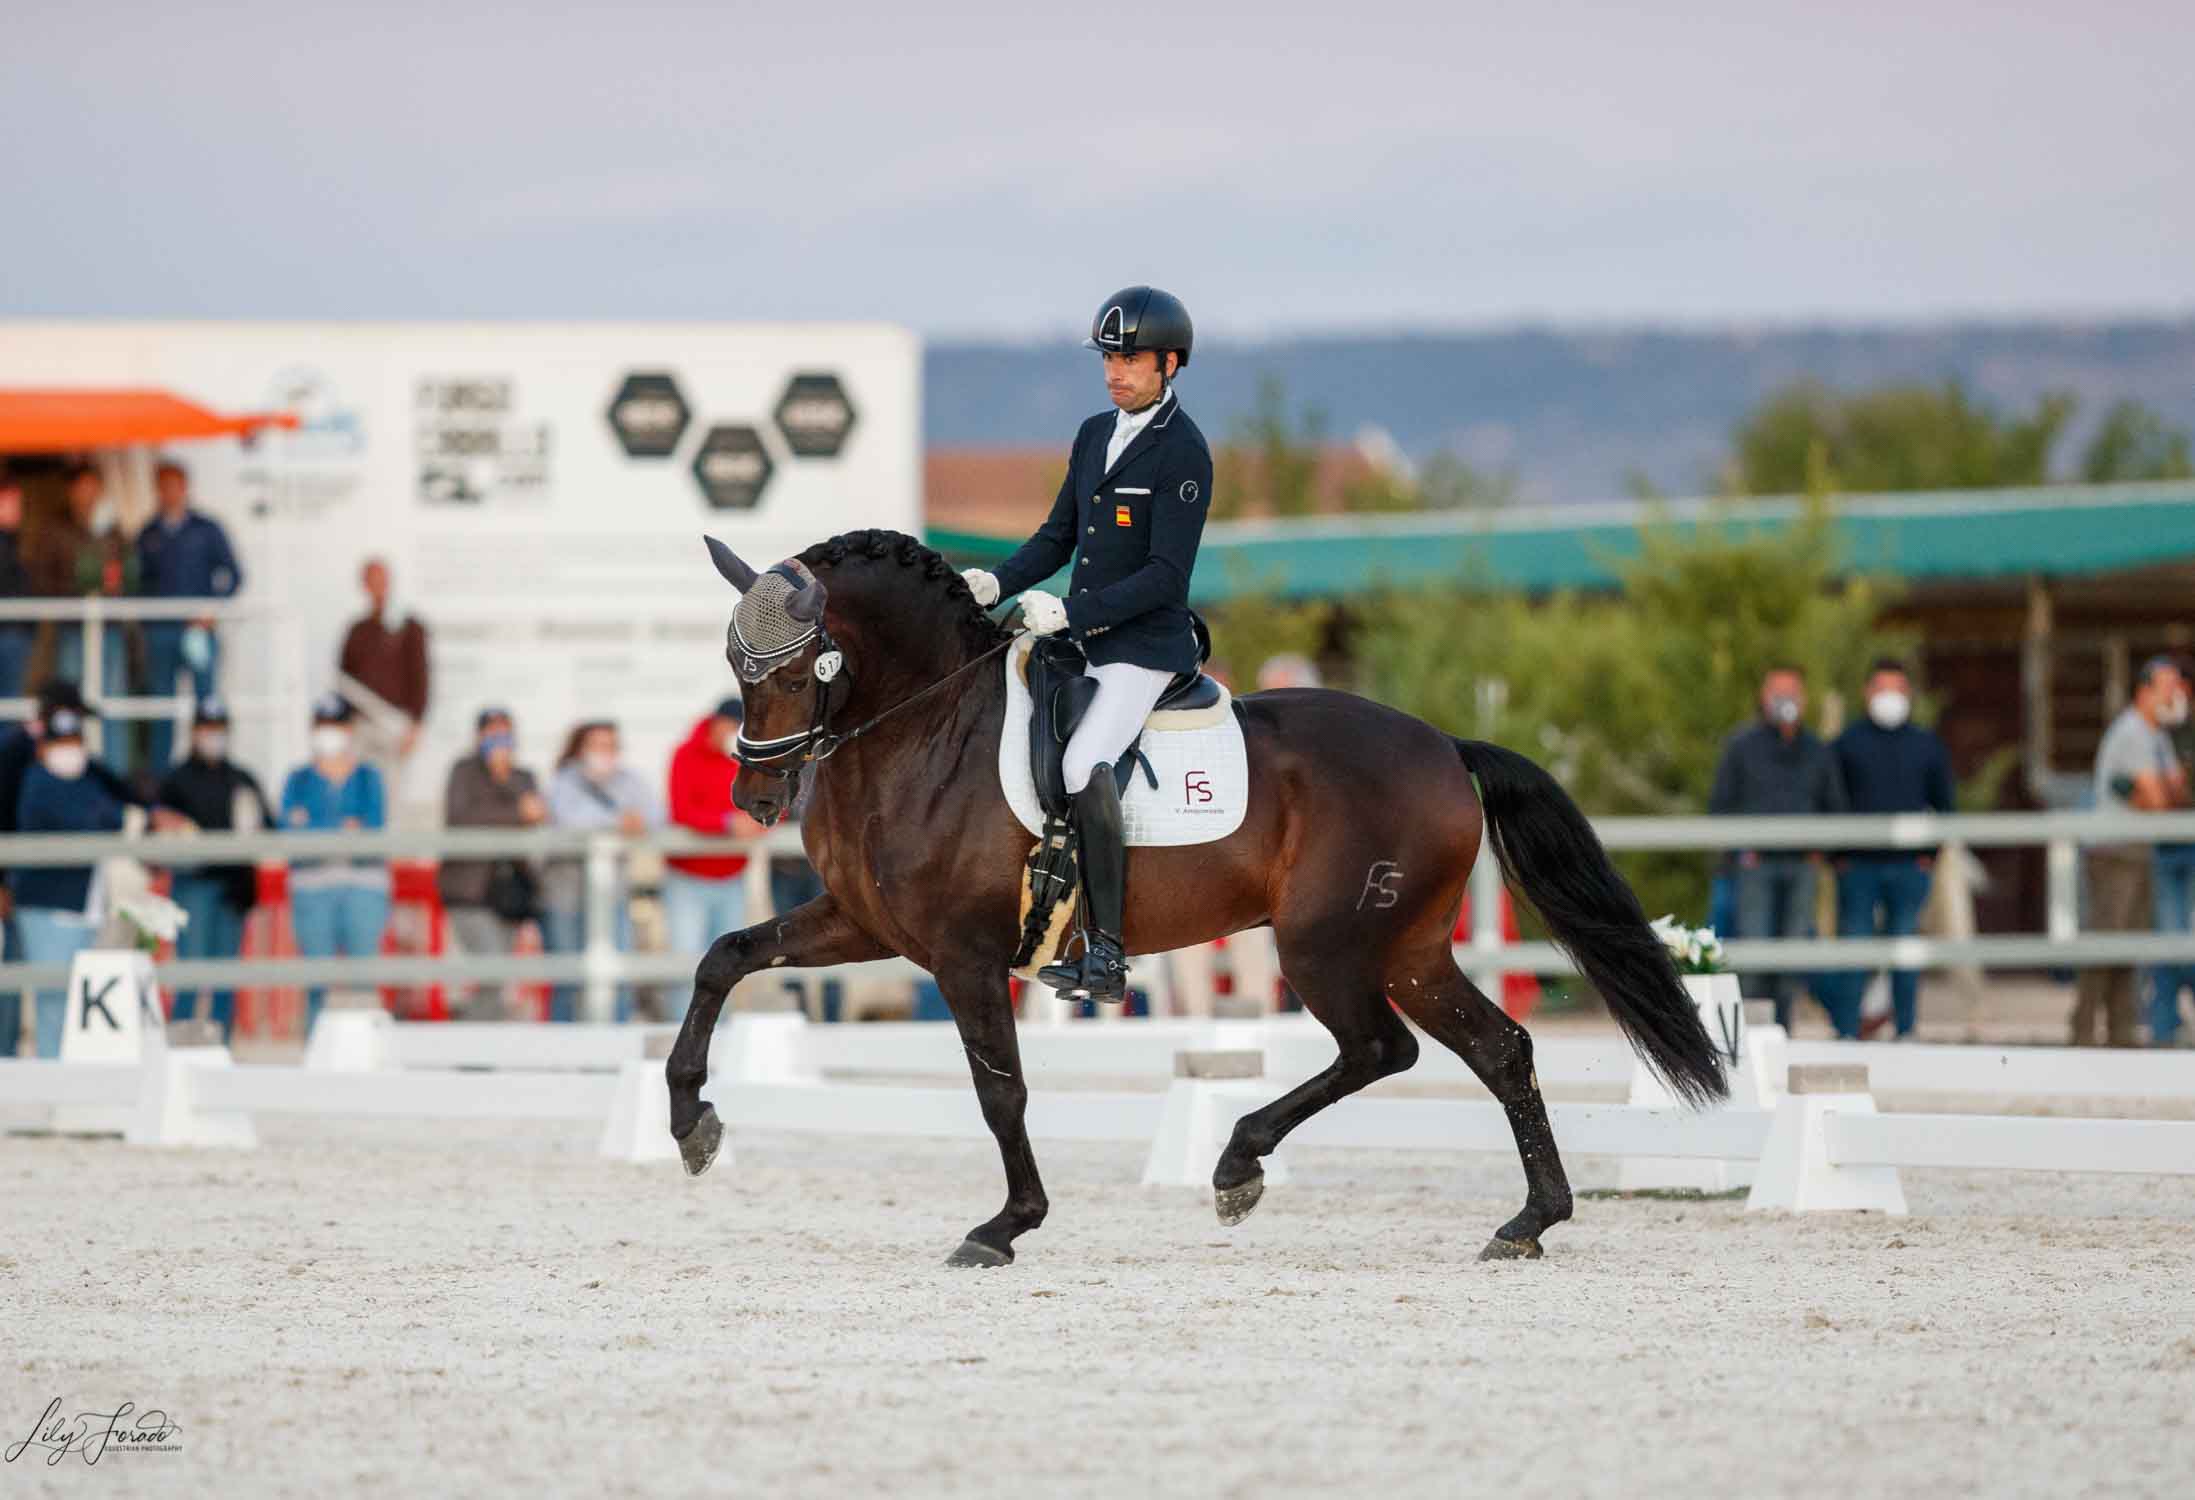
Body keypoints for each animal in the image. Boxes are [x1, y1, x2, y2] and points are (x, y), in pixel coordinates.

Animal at [658, 527, 1720, 1265]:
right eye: (734, 668)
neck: (925, 727)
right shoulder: (865, 926)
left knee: (1381, 1048)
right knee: (1496, 1049)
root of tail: (1444, 747)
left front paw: (1006, 1225)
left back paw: (1238, 1164)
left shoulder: (962, 955)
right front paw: (691, 1124)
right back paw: (1528, 1221)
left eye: (804, 667)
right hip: (1408, 947)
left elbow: (1000, 1090)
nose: (756, 797)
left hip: (1324, 945)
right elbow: (723, 959)